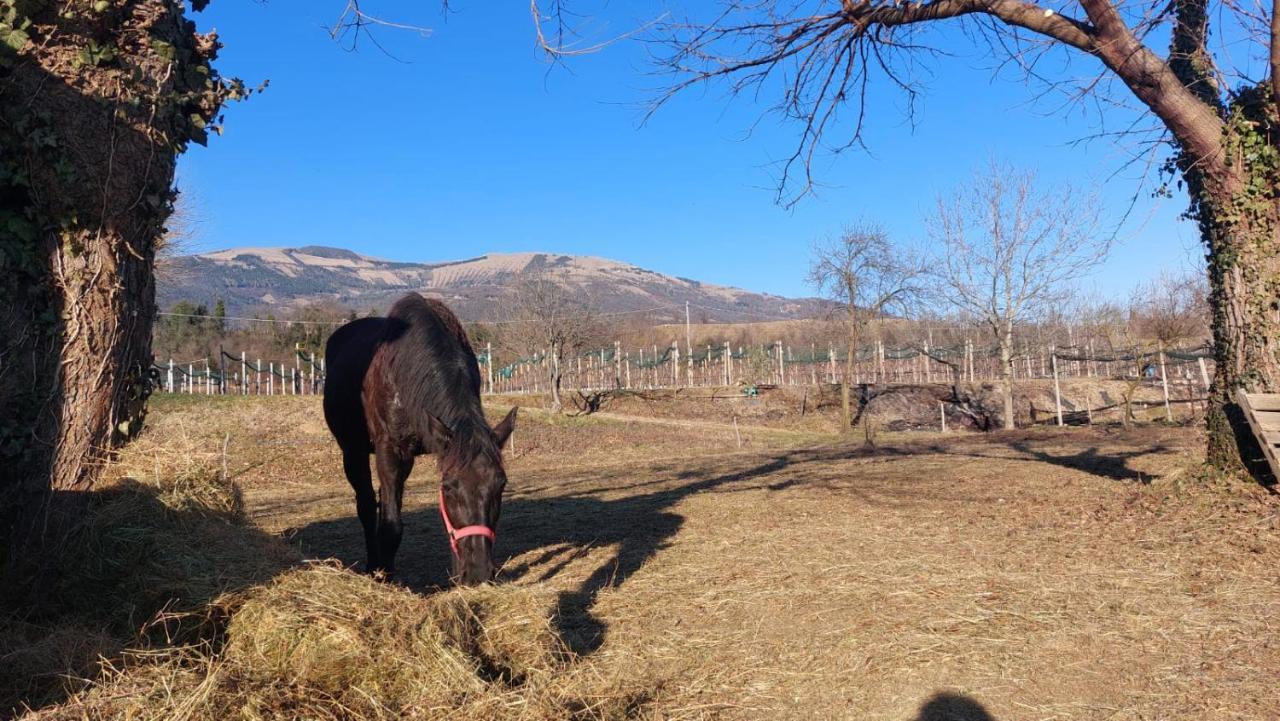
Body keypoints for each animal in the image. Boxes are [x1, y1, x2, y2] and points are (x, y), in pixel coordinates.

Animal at [322, 294, 517, 586]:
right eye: (449, 488)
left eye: (501, 484)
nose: (479, 574)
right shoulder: (391, 450)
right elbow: (390, 526)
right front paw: (386, 579)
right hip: (352, 450)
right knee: (366, 506)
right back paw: (373, 567)